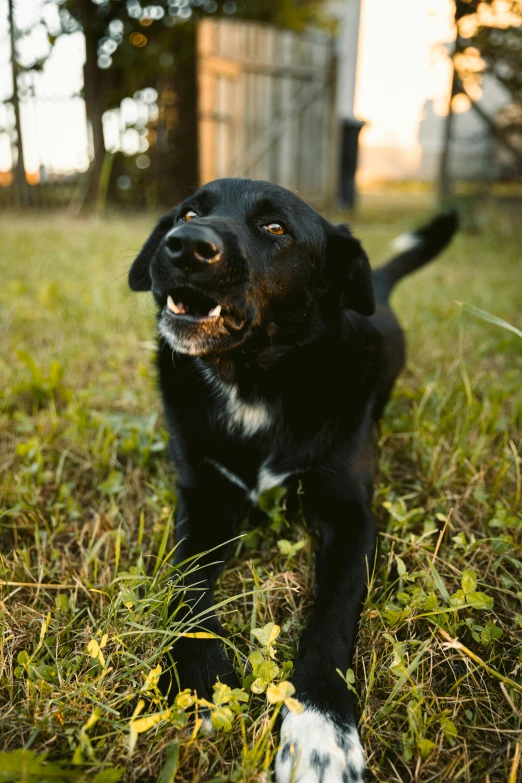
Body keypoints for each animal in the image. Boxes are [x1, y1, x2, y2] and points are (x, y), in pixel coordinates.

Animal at [129, 179, 456, 783]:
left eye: (275, 227)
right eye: (188, 213)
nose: (183, 245)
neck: (254, 382)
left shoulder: (350, 517)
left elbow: (330, 619)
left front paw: (321, 734)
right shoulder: (203, 499)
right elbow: (185, 586)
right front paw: (205, 684)